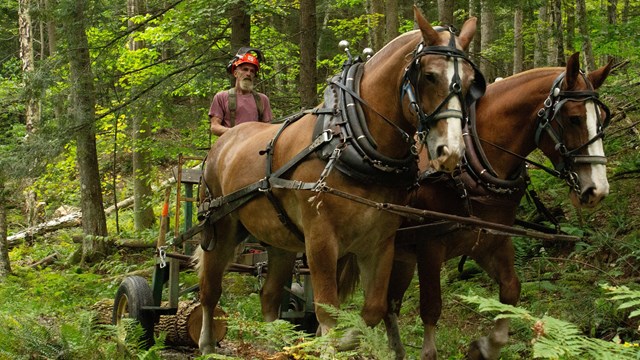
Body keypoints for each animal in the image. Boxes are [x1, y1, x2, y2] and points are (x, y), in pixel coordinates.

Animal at [196, 7, 484, 356]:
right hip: (222, 227)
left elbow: (372, 309)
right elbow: (327, 309)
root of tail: (221, 147)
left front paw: (340, 341)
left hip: (279, 241)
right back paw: (207, 343)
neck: (350, 140)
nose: (451, 151)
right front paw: (328, 344)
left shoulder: (379, 242)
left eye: (470, 82)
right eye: (429, 75)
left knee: (269, 295)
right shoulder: (321, 239)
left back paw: (280, 344)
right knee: (210, 289)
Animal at [382, 51, 612, 360]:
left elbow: (510, 292)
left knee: (389, 304)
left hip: (401, 255)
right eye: (574, 119)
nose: (597, 189)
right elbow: (431, 310)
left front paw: (481, 347)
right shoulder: (429, 247)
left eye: (602, 120)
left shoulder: (491, 242)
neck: (471, 167)